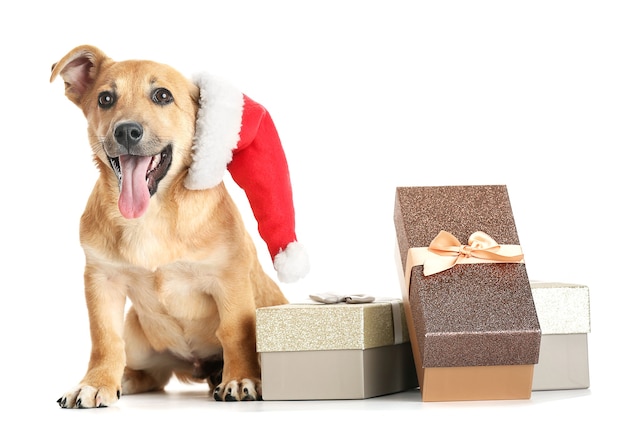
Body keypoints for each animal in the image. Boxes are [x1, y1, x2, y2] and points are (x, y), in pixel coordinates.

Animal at [49, 46, 294, 408]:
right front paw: (95, 383)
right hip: (141, 340)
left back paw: (221, 375)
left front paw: (240, 378)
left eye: (162, 96)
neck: (153, 215)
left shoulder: (229, 277)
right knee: (146, 371)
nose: (126, 131)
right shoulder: (101, 279)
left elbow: (235, 331)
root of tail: (196, 366)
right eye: (106, 98)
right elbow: (104, 337)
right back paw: (125, 379)